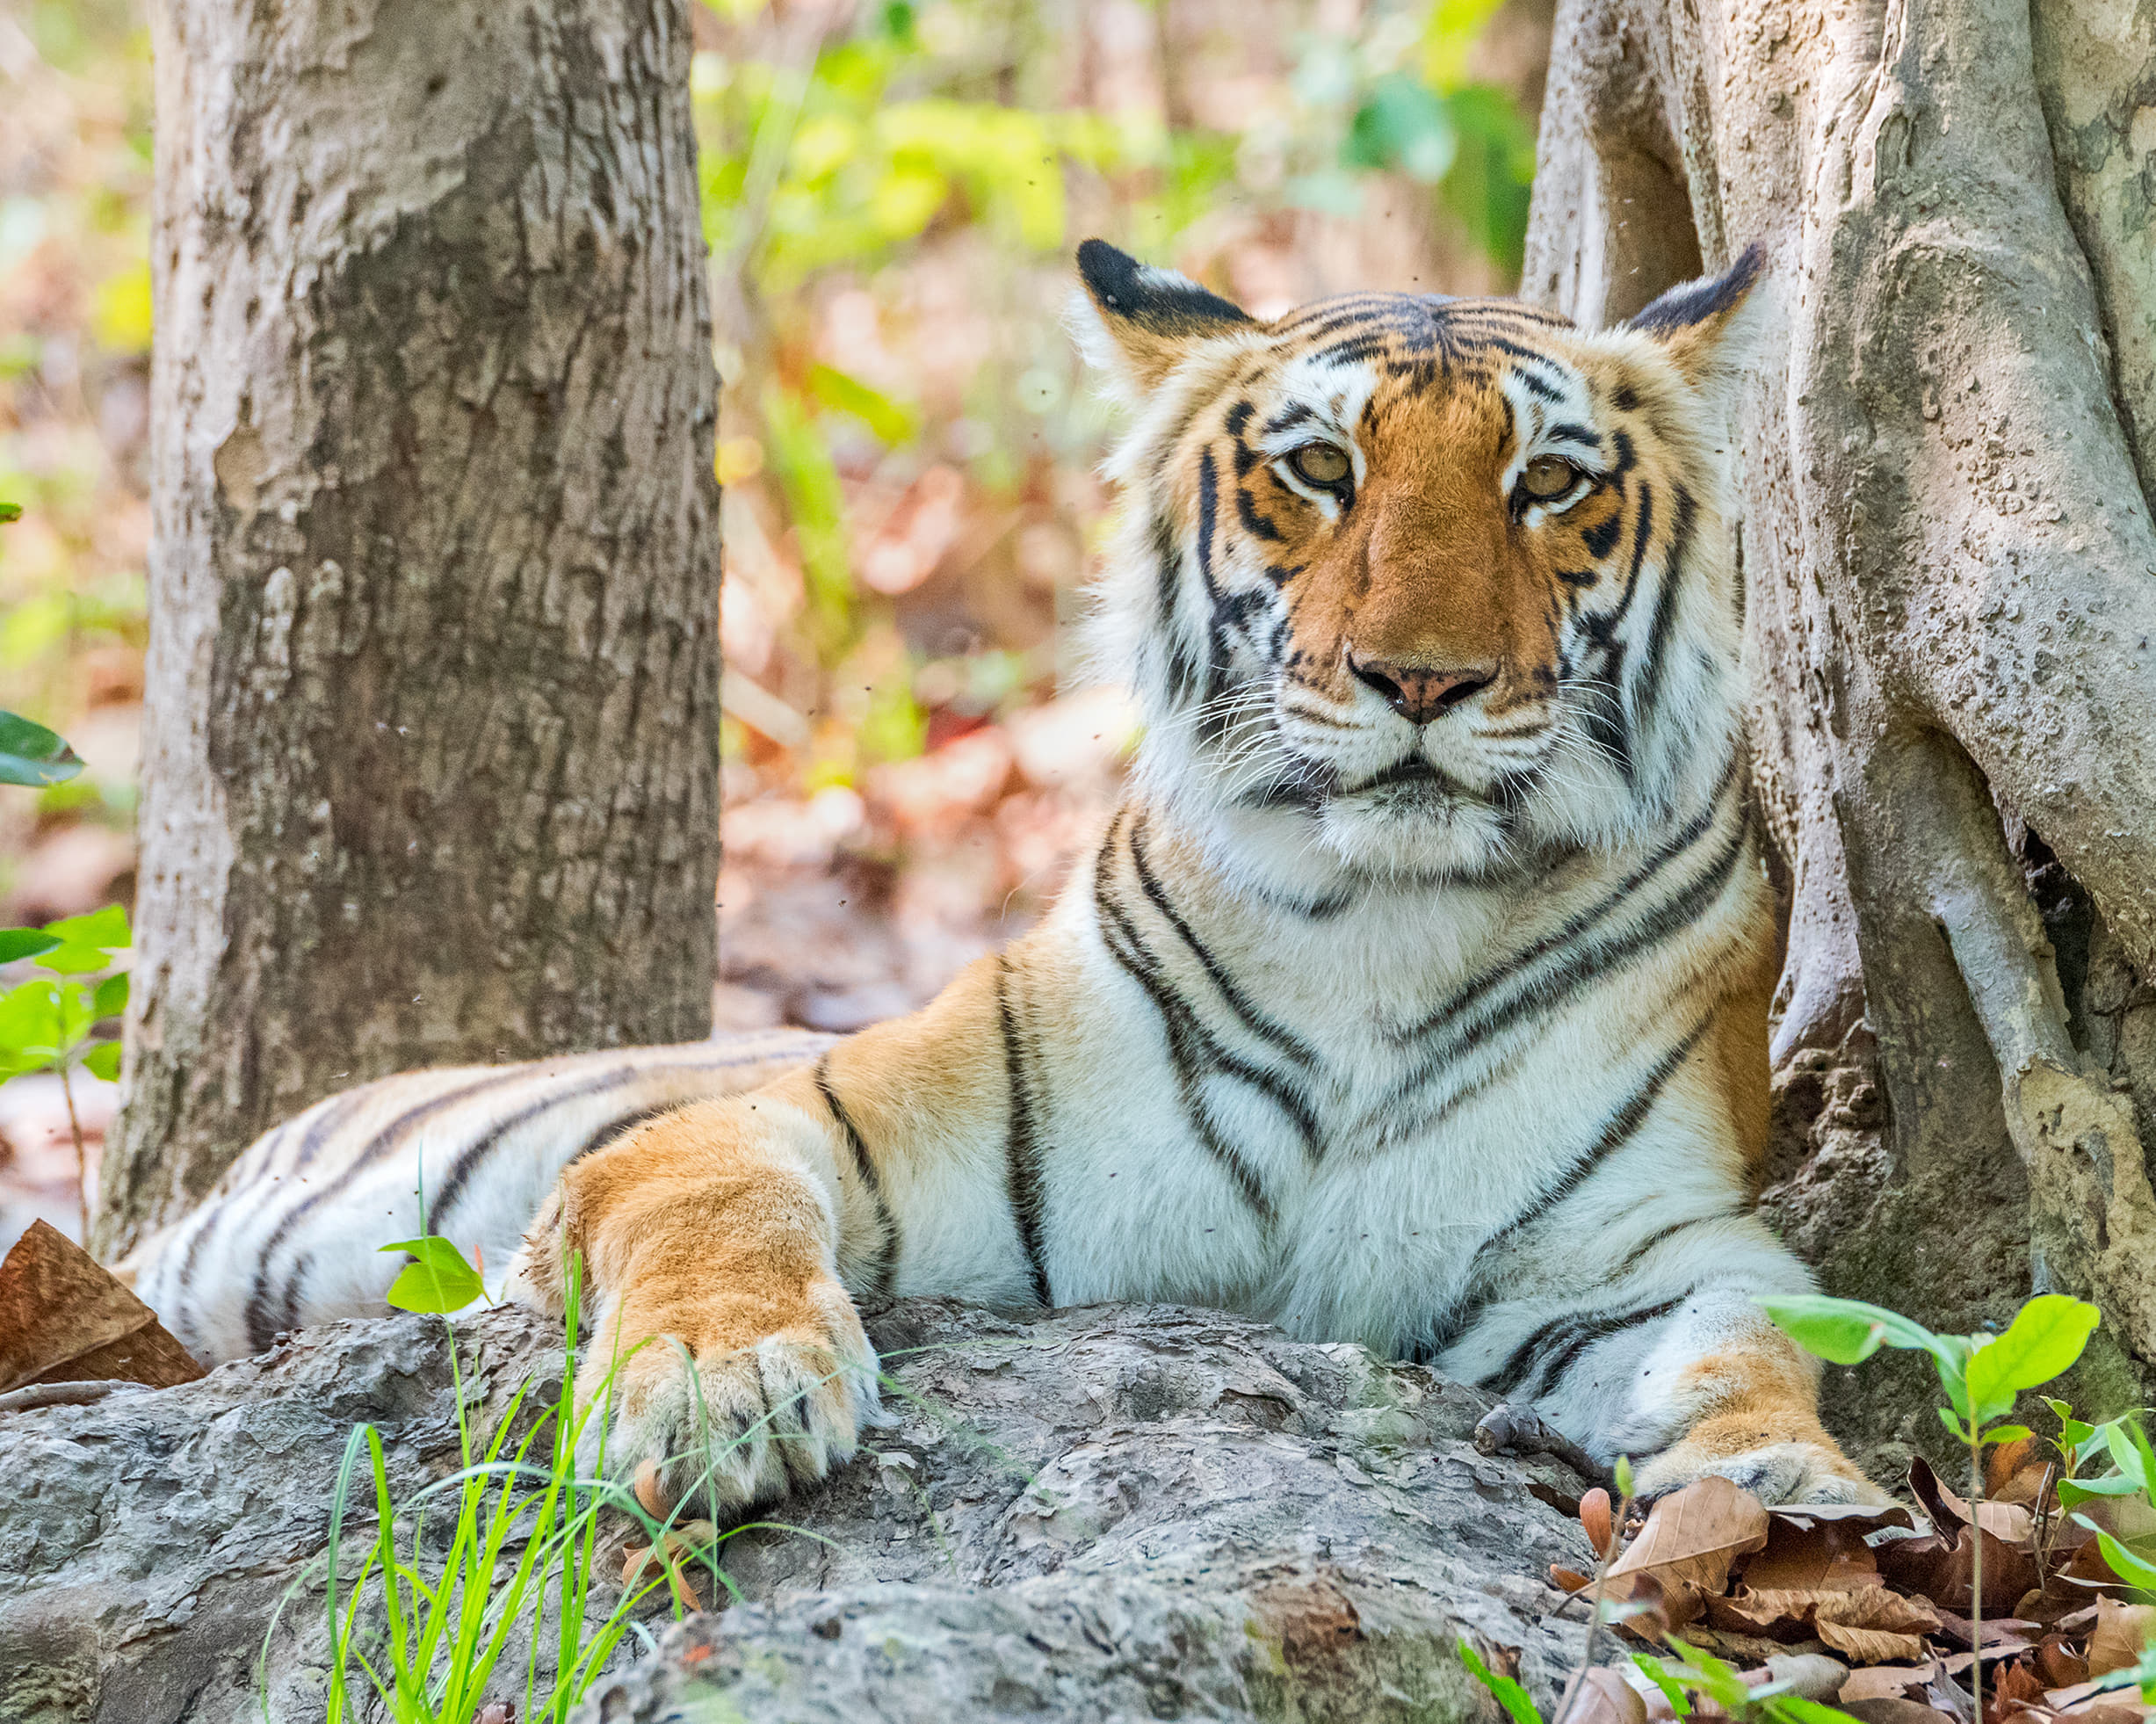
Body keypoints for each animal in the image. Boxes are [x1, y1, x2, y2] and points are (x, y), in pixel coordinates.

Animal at [127, 238, 1878, 1511]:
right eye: (1318, 471)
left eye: (1548, 484)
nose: (1422, 679)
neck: (1382, 927)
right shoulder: (835, 1116)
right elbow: (709, 1187)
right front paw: (714, 1390)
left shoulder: (1640, 1244)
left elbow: (1750, 1334)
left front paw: (1783, 1485)